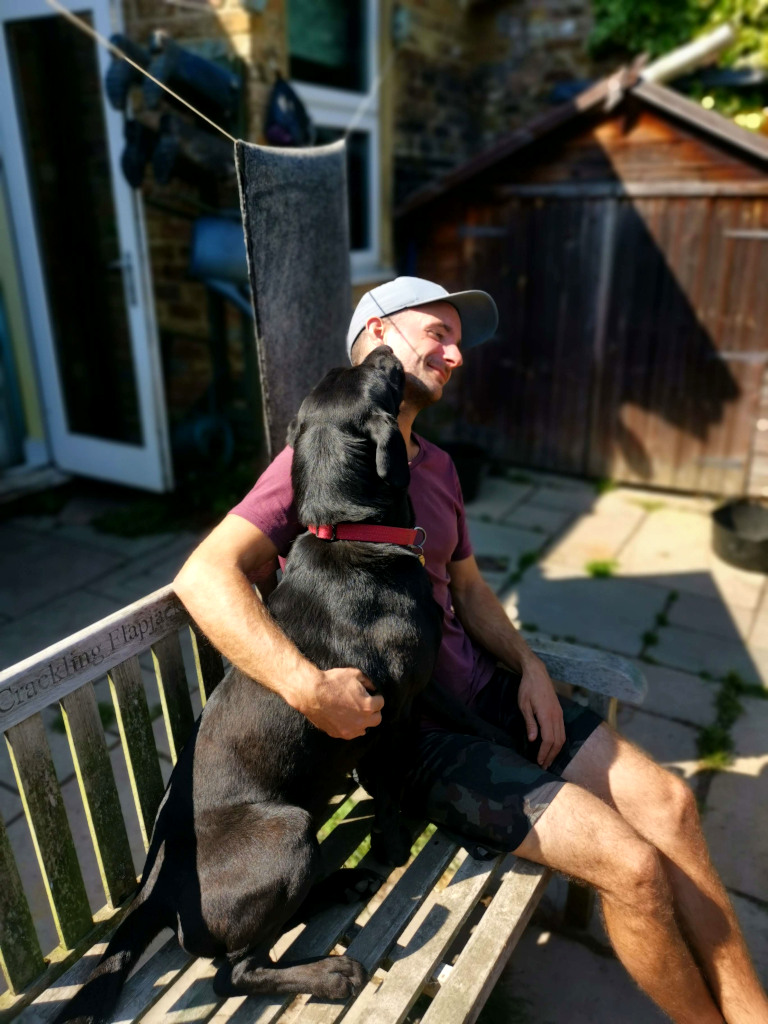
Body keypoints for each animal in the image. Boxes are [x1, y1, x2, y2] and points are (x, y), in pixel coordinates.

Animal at [57, 346, 444, 1024]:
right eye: (376, 378)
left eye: (340, 375)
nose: (381, 349)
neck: (350, 532)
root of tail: (154, 891)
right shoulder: (393, 715)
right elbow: (391, 792)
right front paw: (394, 847)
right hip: (288, 833)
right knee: (233, 972)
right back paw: (331, 972)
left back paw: (341, 882)